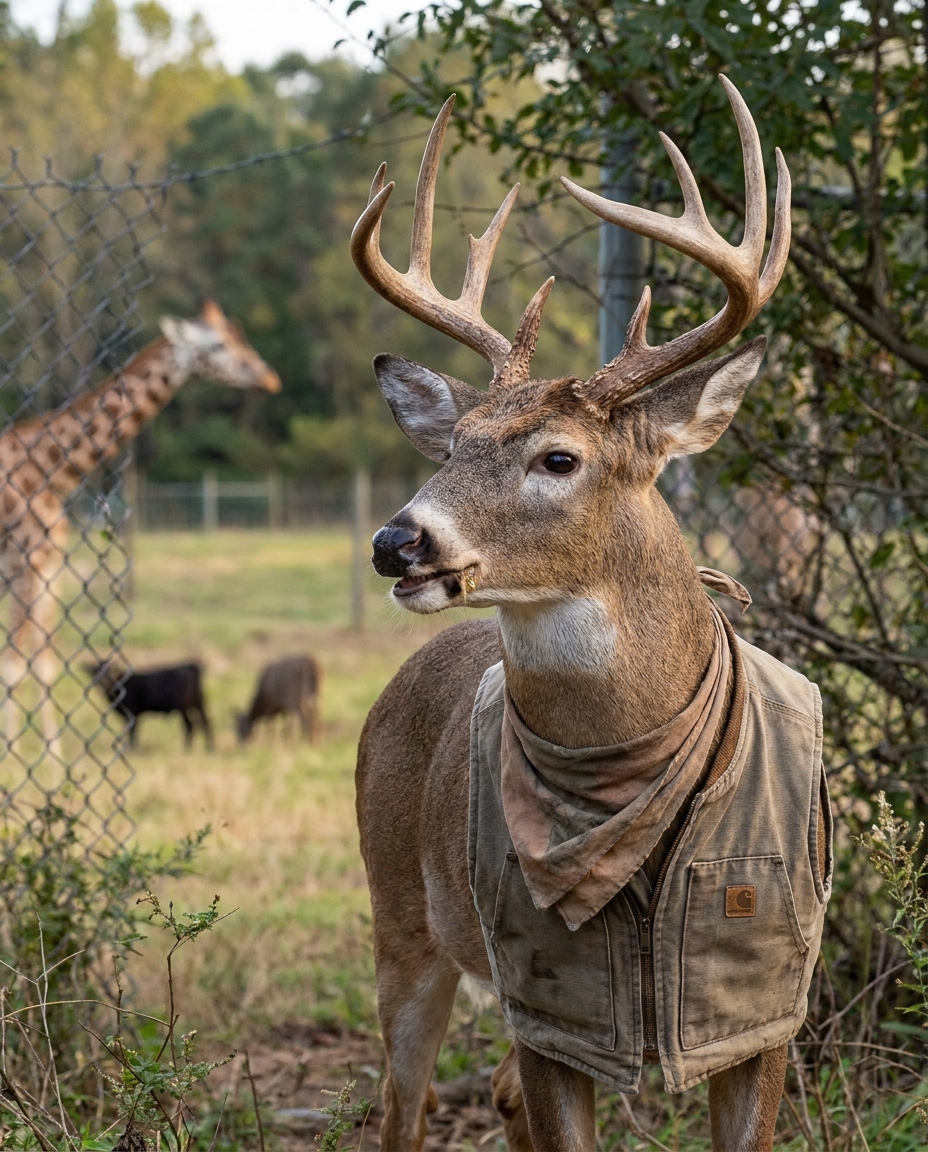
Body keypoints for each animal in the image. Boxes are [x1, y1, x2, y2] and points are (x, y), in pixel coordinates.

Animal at [352, 78, 831, 1152]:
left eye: (558, 457)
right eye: (455, 445)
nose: (398, 542)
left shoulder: (765, 1009)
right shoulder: (547, 995)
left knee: (486, 1095)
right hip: (400, 913)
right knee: (401, 1106)